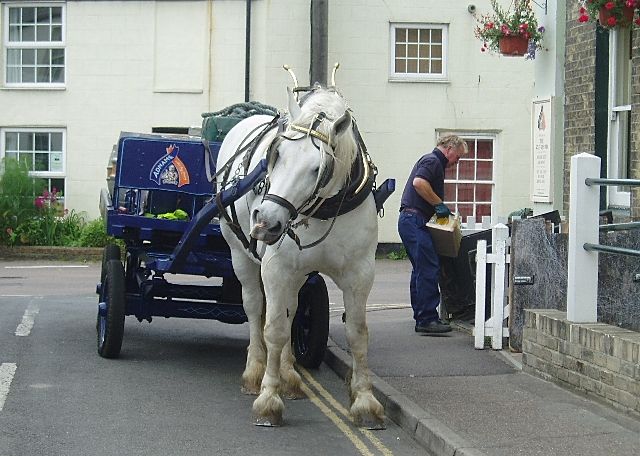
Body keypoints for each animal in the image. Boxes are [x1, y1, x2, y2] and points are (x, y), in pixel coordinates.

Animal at [215, 85, 384, 428]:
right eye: (275, 154)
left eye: (317, 168)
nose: (265, 221)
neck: (323, 208)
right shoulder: (276, 268)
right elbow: (274, 329)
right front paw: (268, 399)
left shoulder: (360, 274)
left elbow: (357, 334)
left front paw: (364, 400)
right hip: (241, 255)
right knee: (255, 307)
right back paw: (255, 371)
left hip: (298, 274)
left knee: (291, 310)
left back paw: (289, 375)